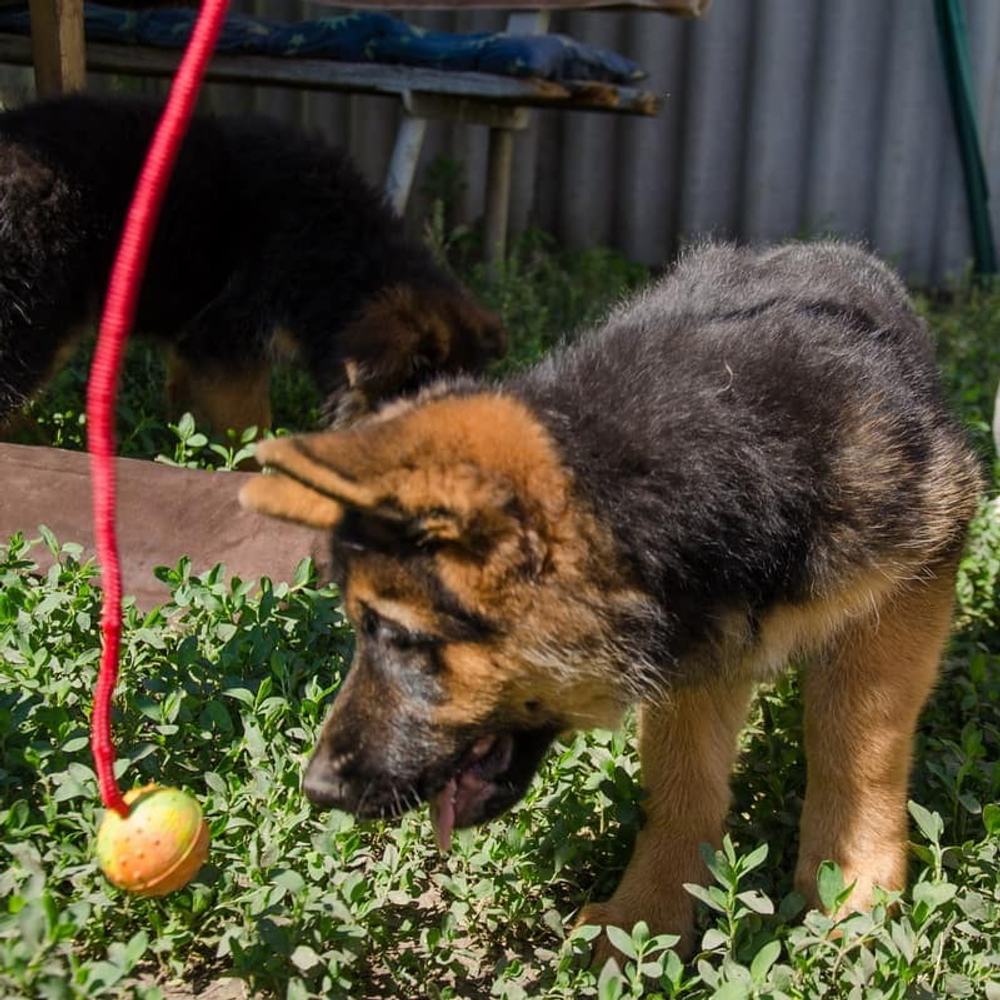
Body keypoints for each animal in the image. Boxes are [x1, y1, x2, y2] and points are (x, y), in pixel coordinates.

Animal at [244, 242, 984, 960]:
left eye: (399, 637)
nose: (317, 789)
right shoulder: (694, 653)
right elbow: (682, 784)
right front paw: (648, 919)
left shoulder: (905, 592)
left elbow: (855, 747)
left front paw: (849, 886)